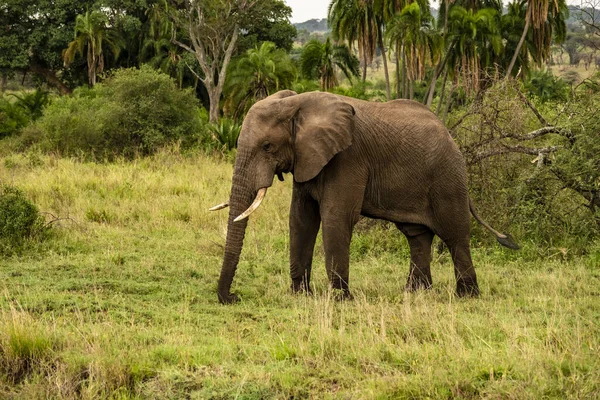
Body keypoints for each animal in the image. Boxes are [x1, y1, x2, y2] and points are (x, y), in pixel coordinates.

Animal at [210, 90, 516, 304]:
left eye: (267, 146)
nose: (234, 297)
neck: (297, 103)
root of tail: (451, 136)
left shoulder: (348, 158)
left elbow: (336, 218)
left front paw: (340, 300)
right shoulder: (307, 159)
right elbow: (301, 219)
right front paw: (301, 295)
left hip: (447, 179)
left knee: (455, 235)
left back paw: (466, 296)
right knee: (417, 236)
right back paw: (415, 293)